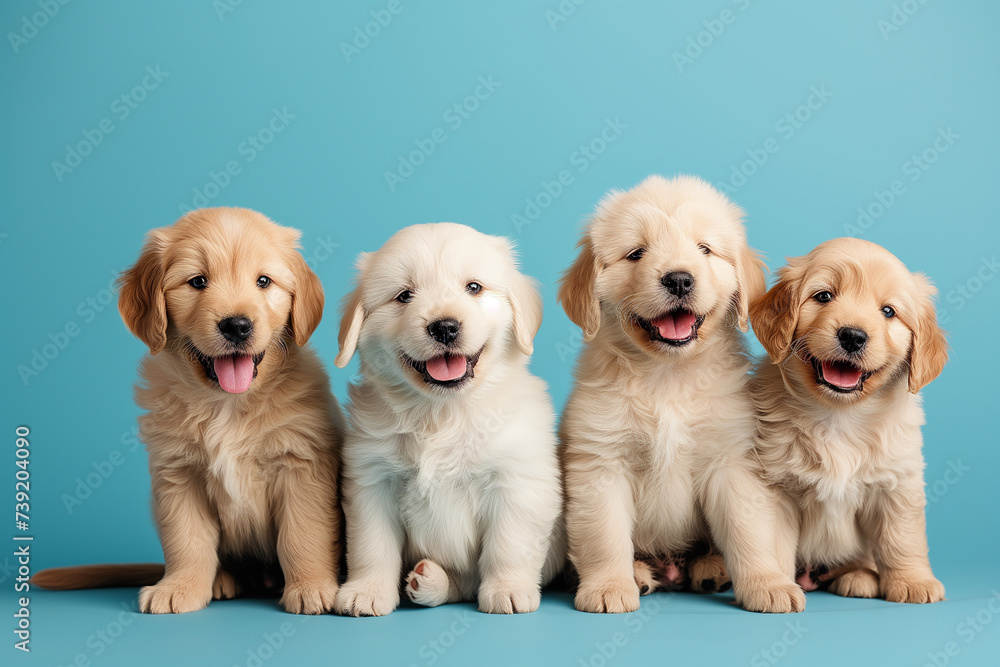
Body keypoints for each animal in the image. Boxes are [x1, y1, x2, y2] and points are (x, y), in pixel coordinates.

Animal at [34, 210, 344, 616]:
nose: (237, 325)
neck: (228, 403)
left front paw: (312, 586)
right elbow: (187, 540)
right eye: (198, 282)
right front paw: (179, 587)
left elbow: (303, 533)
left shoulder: (301, 464)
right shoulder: (178, 474)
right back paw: (223, 579)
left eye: (263, 281)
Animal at [328, 223, 564, 616]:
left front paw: (508, 589)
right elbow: (372, 546)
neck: (442, 413)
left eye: (474, 287)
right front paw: (367, 590)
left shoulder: (516, 480)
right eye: (404, 295)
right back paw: (428, 581)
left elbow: (508, 544)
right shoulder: (372, 481)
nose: (445, 327)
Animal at [564, 174, 804, 616]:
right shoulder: (601, 461)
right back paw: (639, 574)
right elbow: (605, 535)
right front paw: (608, 586)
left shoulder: (732, 461)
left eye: (704, 249)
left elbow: (749, 530)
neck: (667, 376)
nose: (679, 279)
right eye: (636, 253)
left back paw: (712, 568)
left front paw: (768, 583)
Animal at [748, 237, 948, 604]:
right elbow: (773, 541)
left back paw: (859, 576)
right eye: (824, 296)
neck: (839, 415)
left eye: (888, 311)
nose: (853, 336)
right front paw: (774, 586)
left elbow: (903, 538)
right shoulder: (778, 485)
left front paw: (913, 581)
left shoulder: (898, 482)